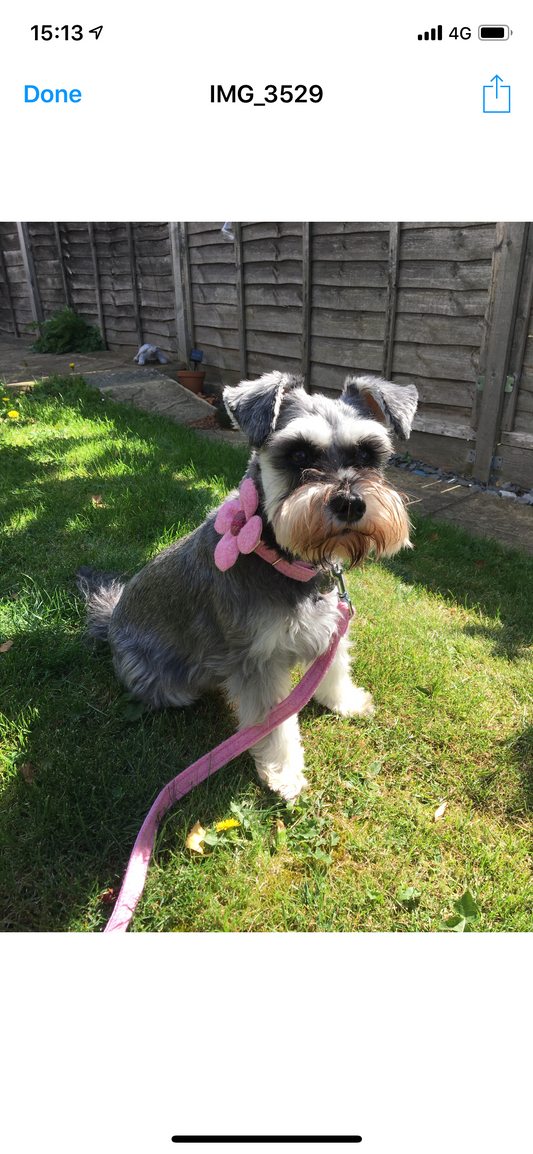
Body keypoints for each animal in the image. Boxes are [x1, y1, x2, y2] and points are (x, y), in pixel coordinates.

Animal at [79, 371, 417, 803]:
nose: (350, 503)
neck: (283, 559)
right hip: (161, 679)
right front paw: (284, 775)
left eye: (365, 454)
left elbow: (335, 669)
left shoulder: (329, 628)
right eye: (299, 454)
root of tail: (111, 622)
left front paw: (345, 701)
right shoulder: (257, 661)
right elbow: (274, 724)